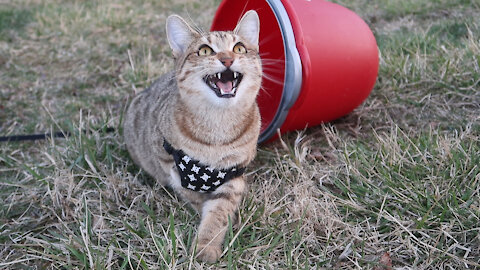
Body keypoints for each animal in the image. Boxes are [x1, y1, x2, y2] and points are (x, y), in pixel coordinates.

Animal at [122, 11, 260, 262]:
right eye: (205, 50)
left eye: (239, 48)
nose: (227, 59)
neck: (218, 126)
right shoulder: (170, 162)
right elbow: (193, 195)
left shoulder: (235, 172)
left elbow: (219, 211)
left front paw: (207, 243)